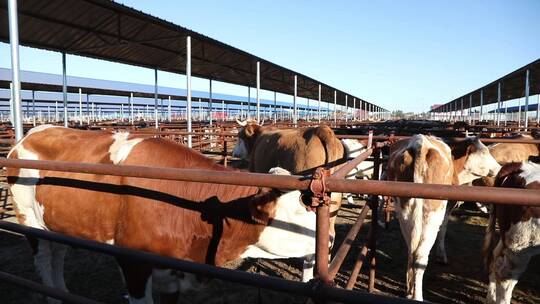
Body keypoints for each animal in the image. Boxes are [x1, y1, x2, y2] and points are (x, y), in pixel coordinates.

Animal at [386, 135, 500, 302]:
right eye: (484, 151)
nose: (499, 167)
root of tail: (420, 143)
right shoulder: (447, 207)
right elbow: (443, 230)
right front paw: (442, 256)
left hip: (404, 213)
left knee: (411, 251)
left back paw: (409, 290)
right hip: (432, 214)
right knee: (420, 256)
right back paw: (417, 296)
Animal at [486, 162, 540, 304]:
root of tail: (521, 165)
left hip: (507, 237)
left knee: (496, 256)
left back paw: (491, 297)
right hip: (521, 245)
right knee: (506, 276)